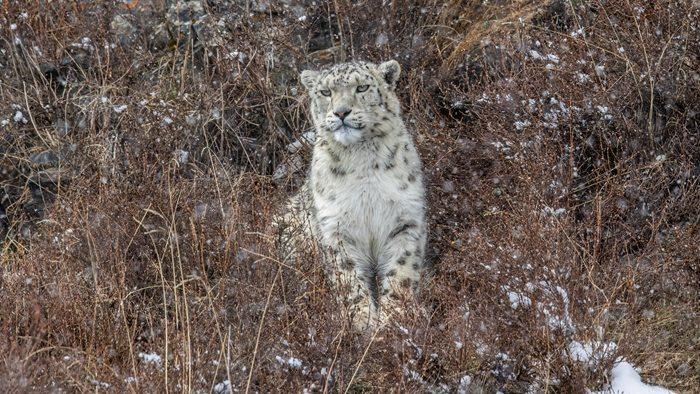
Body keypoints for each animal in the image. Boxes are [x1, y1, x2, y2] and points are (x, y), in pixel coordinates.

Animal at [278, 59, 426, 330]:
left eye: (362, 87)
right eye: (326, 92)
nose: (341, 112)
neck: (362, 159)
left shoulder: (405, 219)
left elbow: (401, 270)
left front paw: (395, 319)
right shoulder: (335, 226)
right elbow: (347, 275)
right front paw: (362, 322)